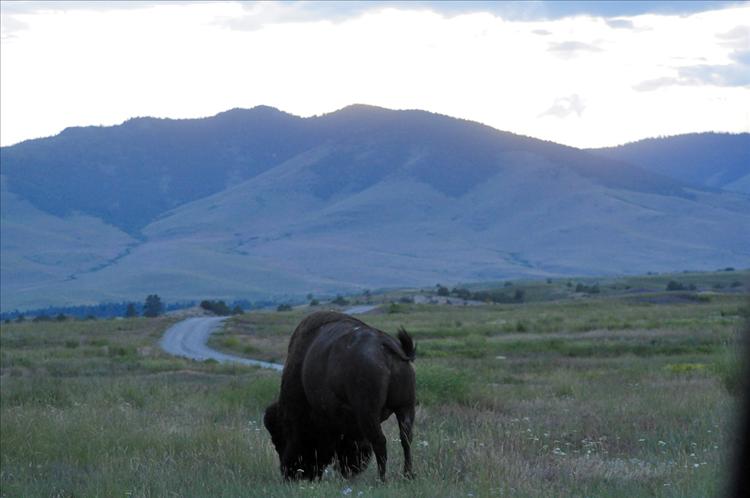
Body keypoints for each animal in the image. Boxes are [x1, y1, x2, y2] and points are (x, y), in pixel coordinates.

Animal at [264, 310, 418, 480]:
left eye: (280, 437)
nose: (288, 473)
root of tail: (384, 344)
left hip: (369, 413)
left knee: (380, 442)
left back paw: (381, 479)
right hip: (405, 407)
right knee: (405, 438)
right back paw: (407, 474)